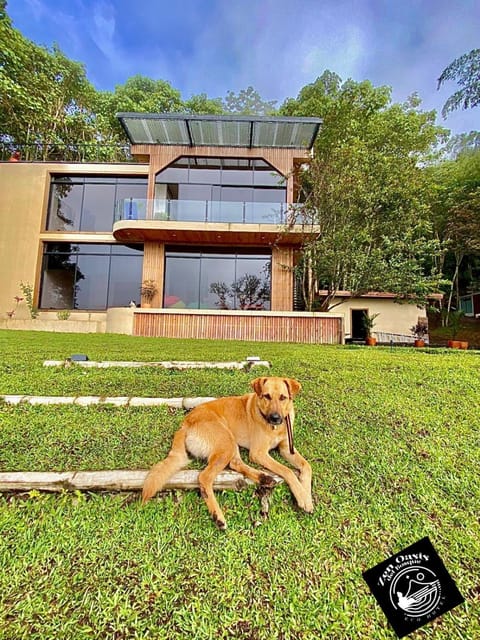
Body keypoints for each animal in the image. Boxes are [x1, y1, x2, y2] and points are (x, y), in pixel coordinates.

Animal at [142, 376, 316, 528]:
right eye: (266, 396)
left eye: (283, 397)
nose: (275, 418)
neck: (274, 428)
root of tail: (185, 423)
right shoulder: (259, 453)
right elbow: (287, 470)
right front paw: (301, 495)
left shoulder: (287, 448)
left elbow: (307, 466)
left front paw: (306, 494)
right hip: (227, 442)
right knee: (205, 477)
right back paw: (218, 516)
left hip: (231, 443)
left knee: (235, 463)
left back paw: (264, 478)